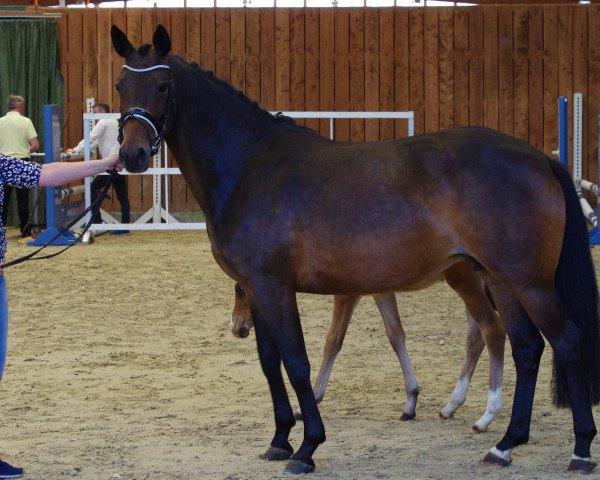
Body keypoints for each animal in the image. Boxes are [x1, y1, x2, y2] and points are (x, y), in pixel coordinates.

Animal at [111, 24, 600, 474]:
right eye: (120, 85)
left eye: (163, 84)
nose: (133, 155)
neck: (249, 165)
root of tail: (539, 158)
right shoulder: (258, 289)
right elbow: (270, 363)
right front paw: (279, 440)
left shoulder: (274, 287)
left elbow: (298, 362)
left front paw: (307, 448)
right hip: (500, 280)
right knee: (526, 348)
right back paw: (505, 443)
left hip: (528, 283)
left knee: (568, 341)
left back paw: (579, 449)